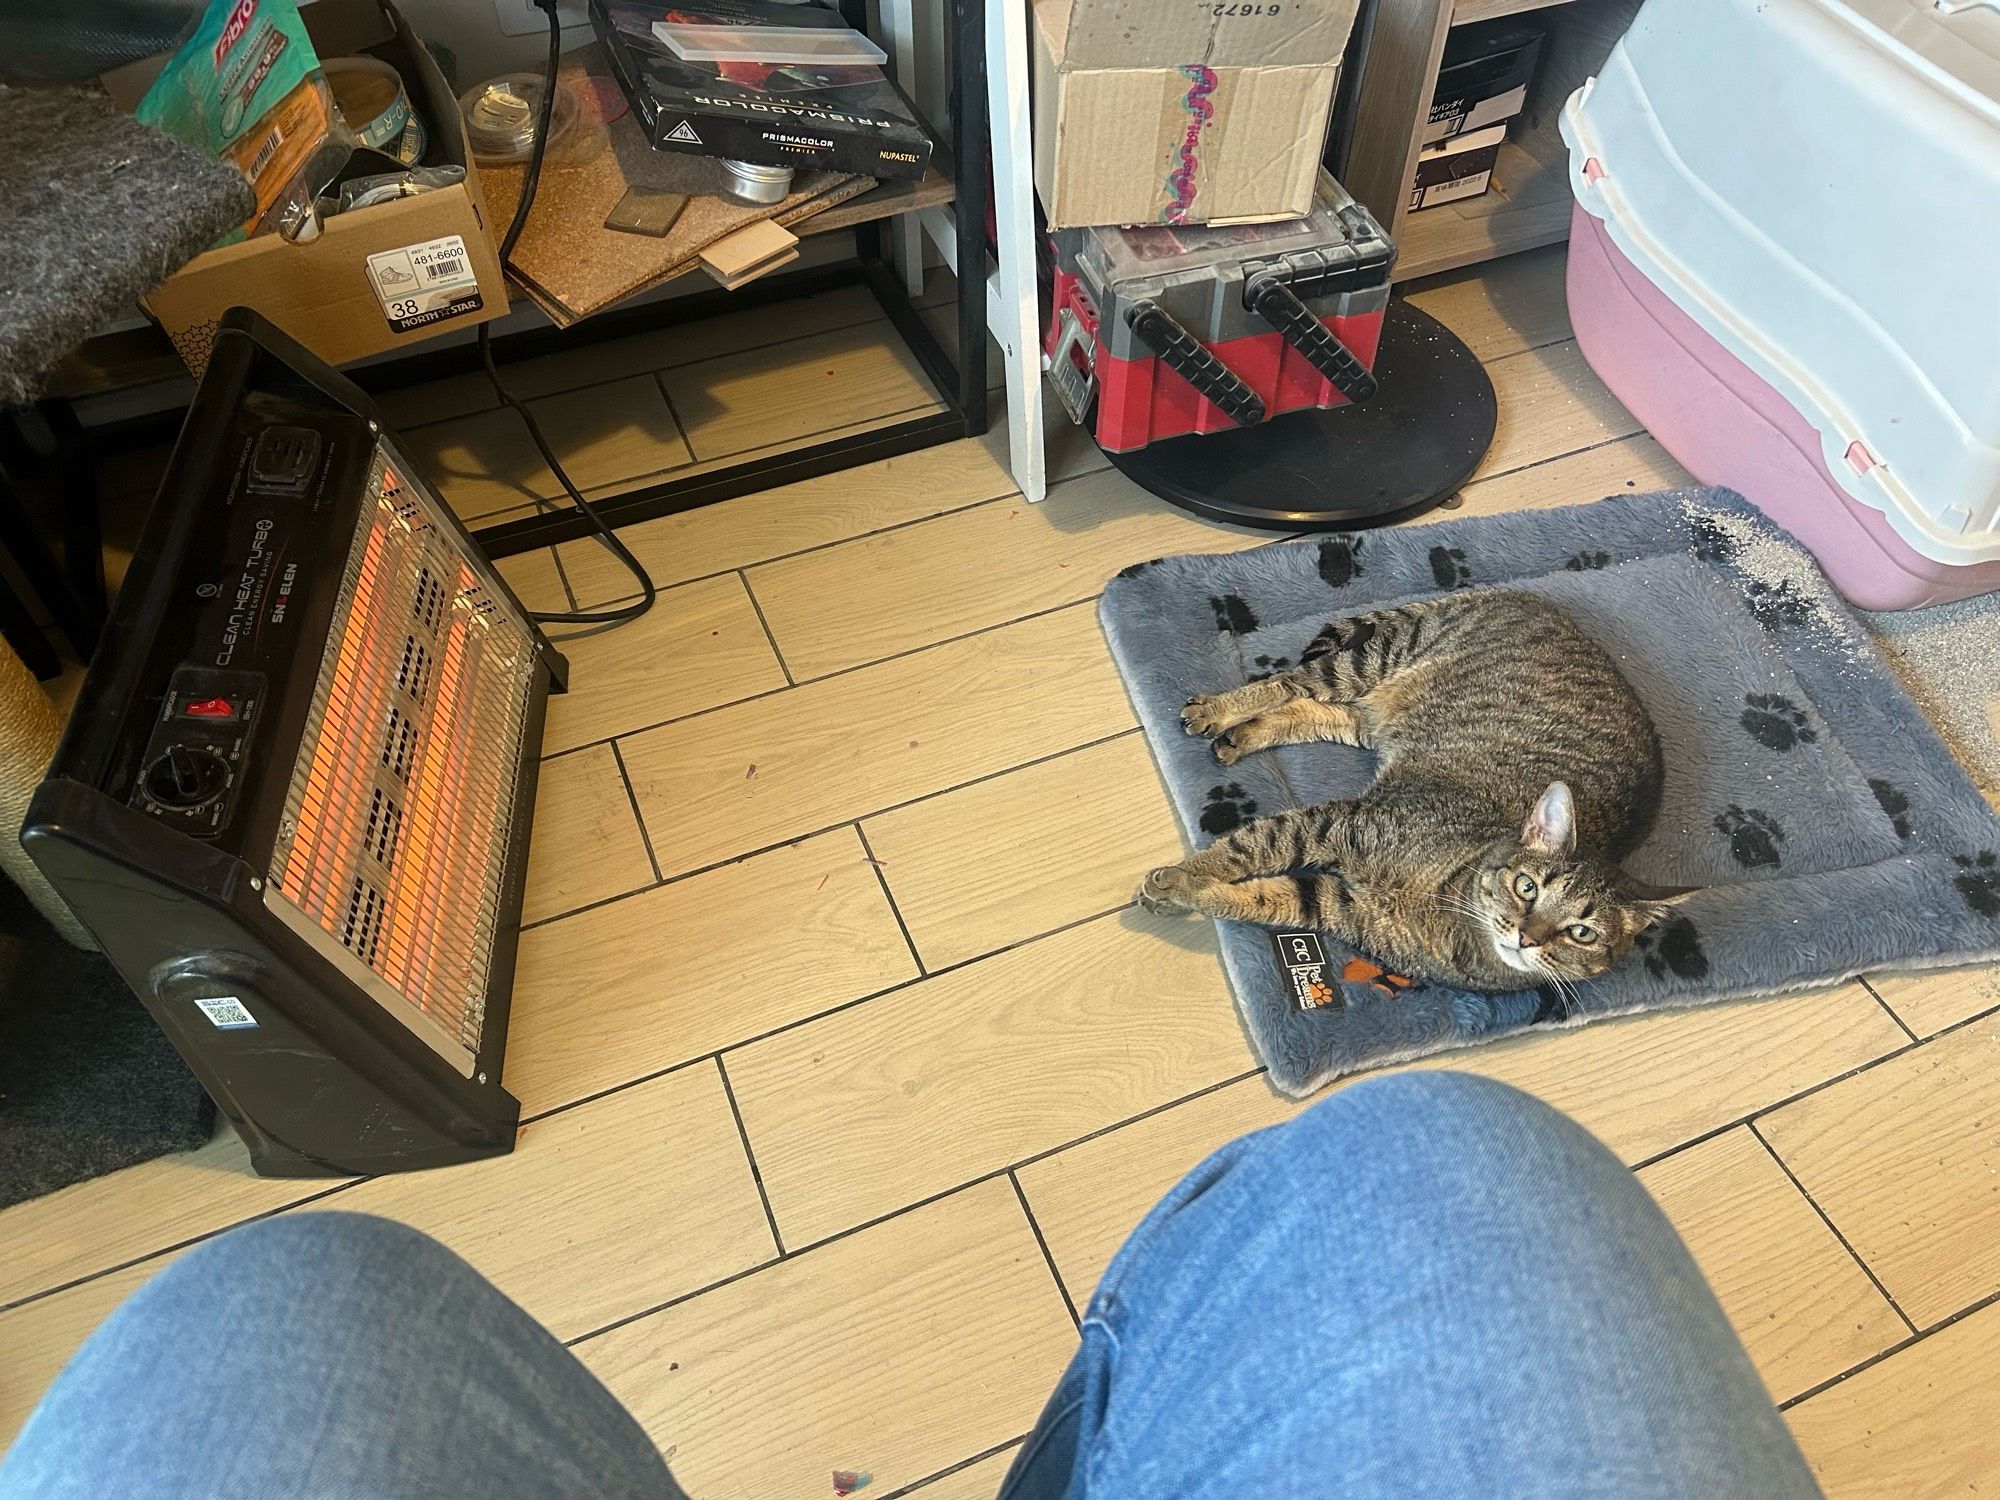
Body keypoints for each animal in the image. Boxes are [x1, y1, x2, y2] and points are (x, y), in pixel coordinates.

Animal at [1144, 592, 1688, 1000]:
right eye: (1527, 887)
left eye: (1582, 933)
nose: (1526, 936)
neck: (1449, 910)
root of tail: (1520, 596)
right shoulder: (1341, 821)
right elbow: (1249, 846)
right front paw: (1181, 877)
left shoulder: (1340, 906)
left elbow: (1262, 897)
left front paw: (1189, 890)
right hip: (1370, 662)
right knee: (1288, 682)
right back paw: (1216, 710)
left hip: (1371, 718)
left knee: (1310, 708)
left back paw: (1240, 735)